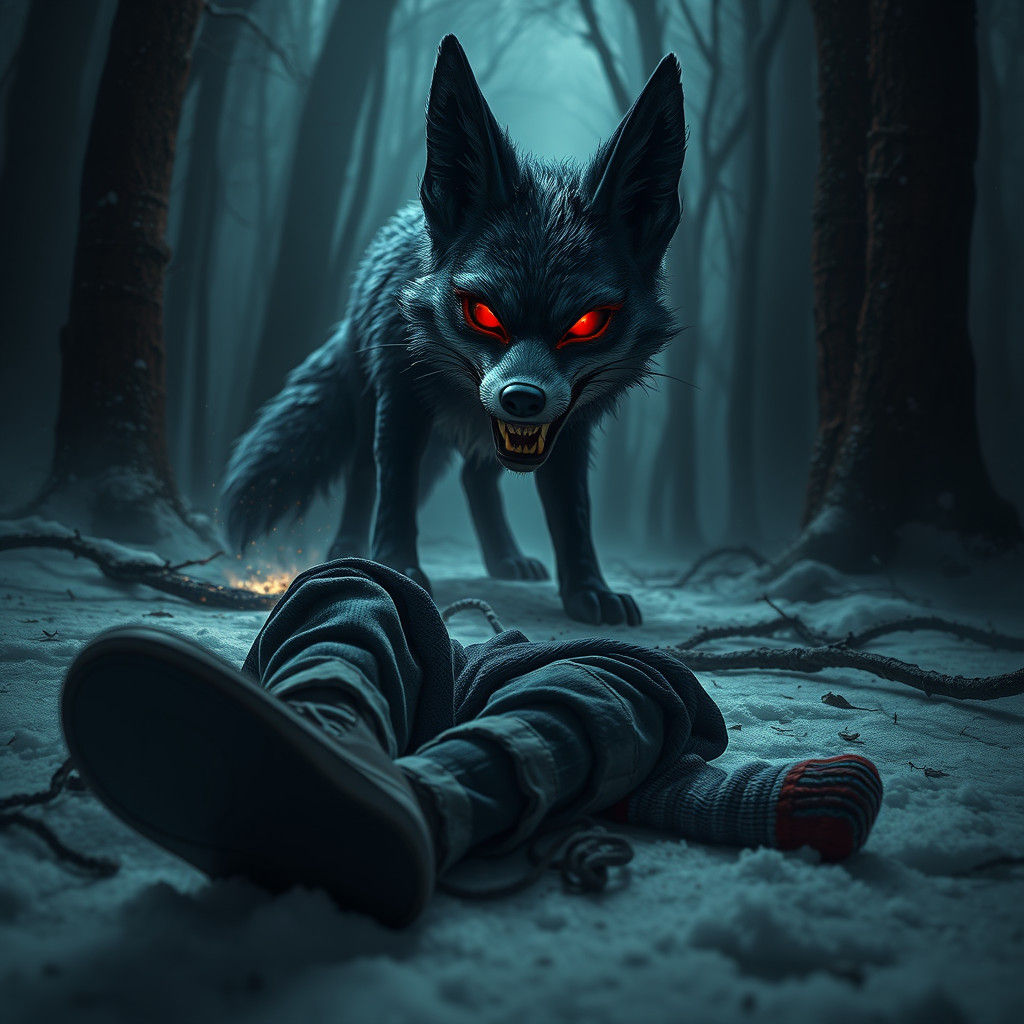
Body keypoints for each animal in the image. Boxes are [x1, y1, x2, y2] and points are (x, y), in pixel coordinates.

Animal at [223, 35, 686, 626]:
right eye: (484, 313)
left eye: (586, 323)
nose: (522, 398)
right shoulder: (400, 397)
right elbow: (395, 487)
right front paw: (395, 566)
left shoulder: (571, 427)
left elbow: (573, 515)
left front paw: (588, 590)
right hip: (371, 402)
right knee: (364, 475)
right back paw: (348, 546)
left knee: (474, 477)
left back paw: (507, 559)